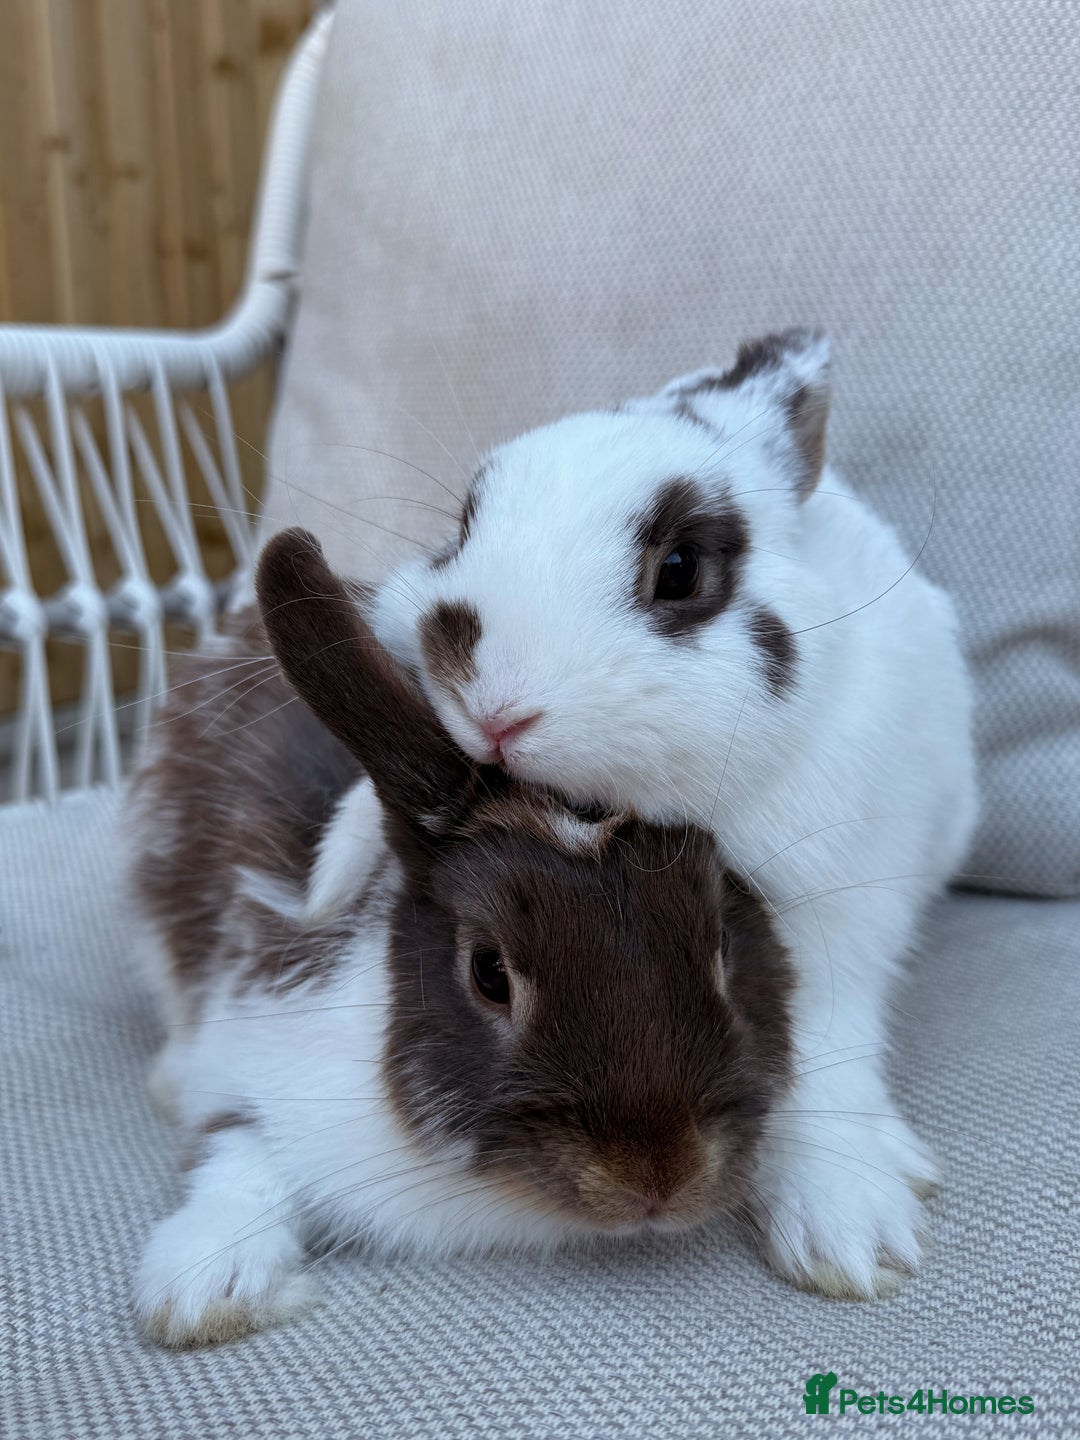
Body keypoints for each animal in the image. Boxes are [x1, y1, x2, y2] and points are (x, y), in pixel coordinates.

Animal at [126, 528, 795, 1348]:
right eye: (488, 972)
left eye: (724, 943)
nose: (657, 1179)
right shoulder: (256, 1042)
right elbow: (235, 1157)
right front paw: (204, 1291)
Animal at [369, 328, 979, 1301]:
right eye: (462, 527)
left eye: (681, 569)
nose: (495, 710)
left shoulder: (832, 914)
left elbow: (824, 1052)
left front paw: (849, 1240)